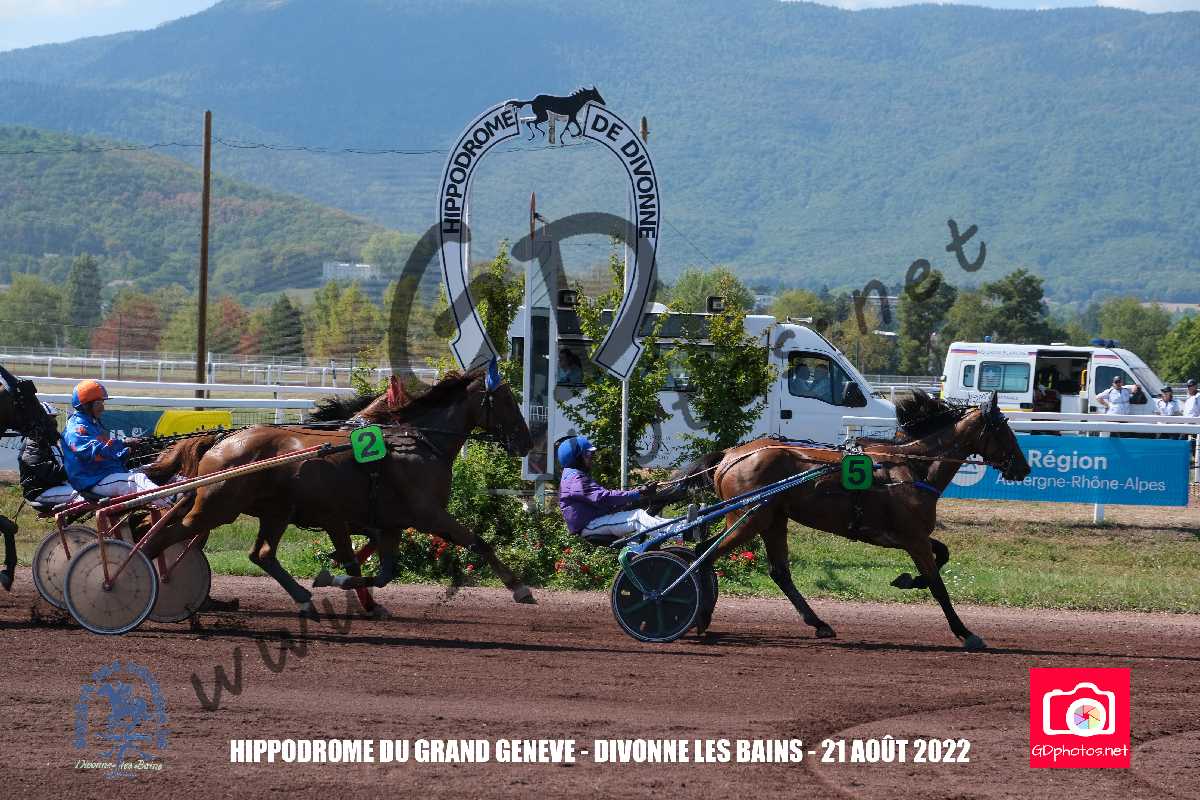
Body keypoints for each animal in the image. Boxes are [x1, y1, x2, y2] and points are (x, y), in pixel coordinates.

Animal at [141, 364, 535, 618]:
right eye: (507, 400)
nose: (527, 441)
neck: (417, 443)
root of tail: (224, 439)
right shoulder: (428, 514)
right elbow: (478, 542)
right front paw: (521, 588)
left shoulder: (387, 523)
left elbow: (381, 570)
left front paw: (341, 581)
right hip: (216, 507)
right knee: (165, 535)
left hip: (273, 511)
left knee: (262, 554)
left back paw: (303, 599)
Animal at [674, 389, 1030, 650]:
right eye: (1003, 429)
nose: (1023, 467)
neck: (910, 467)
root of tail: (730, 456)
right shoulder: (913, 539)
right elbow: (938, 585)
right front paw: (965, 632)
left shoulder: (909, 535)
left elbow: (942, 554)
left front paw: (906, 580)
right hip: (749, 518)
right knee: (704, 552)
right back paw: (701, 615)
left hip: (772, 520)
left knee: (778, 572)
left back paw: (819, 624)